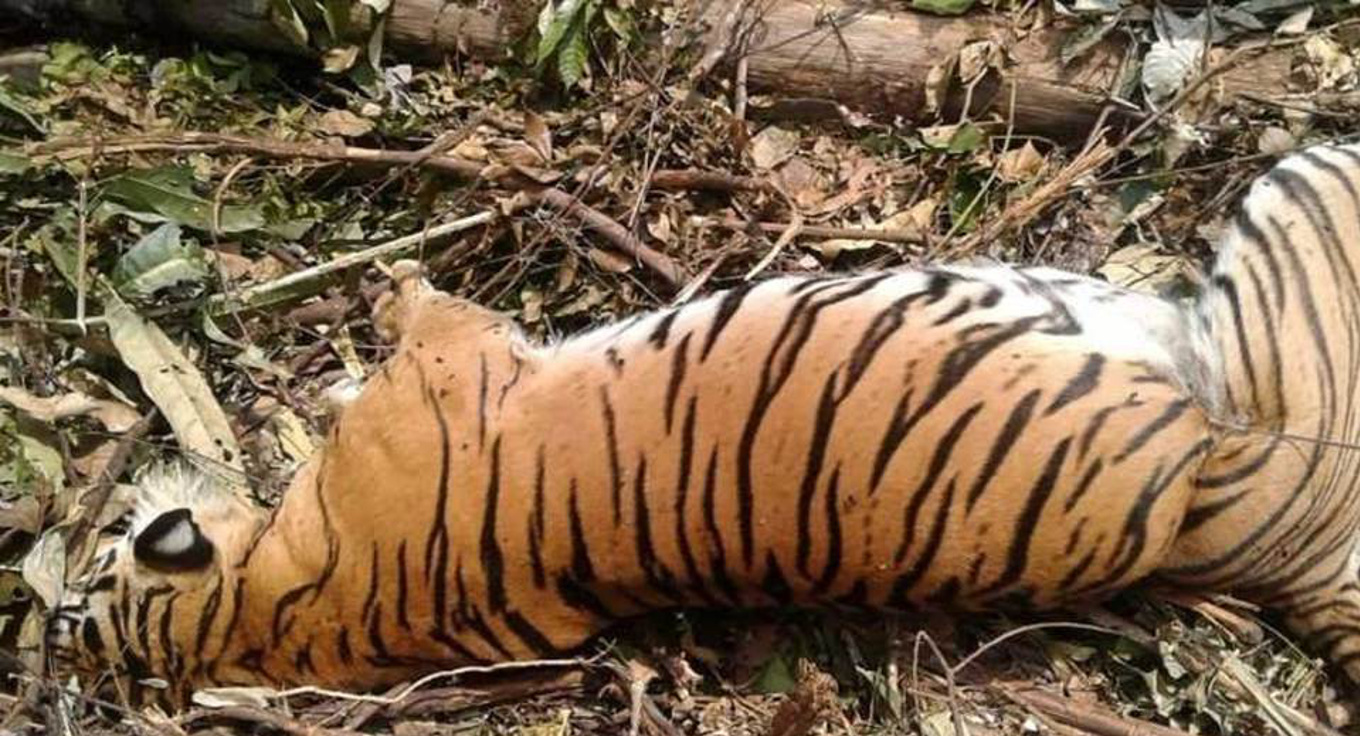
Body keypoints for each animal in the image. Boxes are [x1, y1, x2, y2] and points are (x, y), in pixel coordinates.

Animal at [42, 142, 1360, 707]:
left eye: (93, 575)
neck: (267, 611)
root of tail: (1245, 536)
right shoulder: (451, 366)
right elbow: (427, 313)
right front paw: (386, 301)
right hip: (1271, 271)